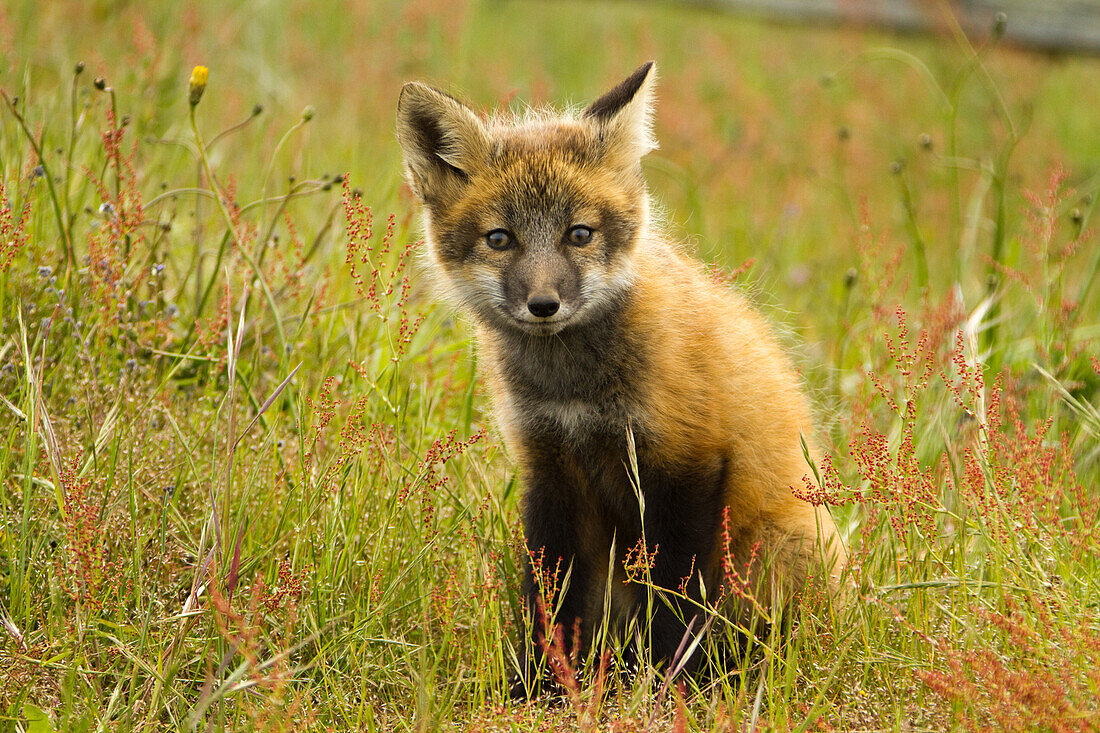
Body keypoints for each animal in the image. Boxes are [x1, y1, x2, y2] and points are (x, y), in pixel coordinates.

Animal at [400, 61, 844, 691]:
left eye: (579, 233)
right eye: (500, 239)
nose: (544, 305)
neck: (574, 391)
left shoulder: (686, 466)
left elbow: (675, 598)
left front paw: (664, 686)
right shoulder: (550, 472)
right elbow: (550, 601)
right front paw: (541, 688)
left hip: (775, 555)